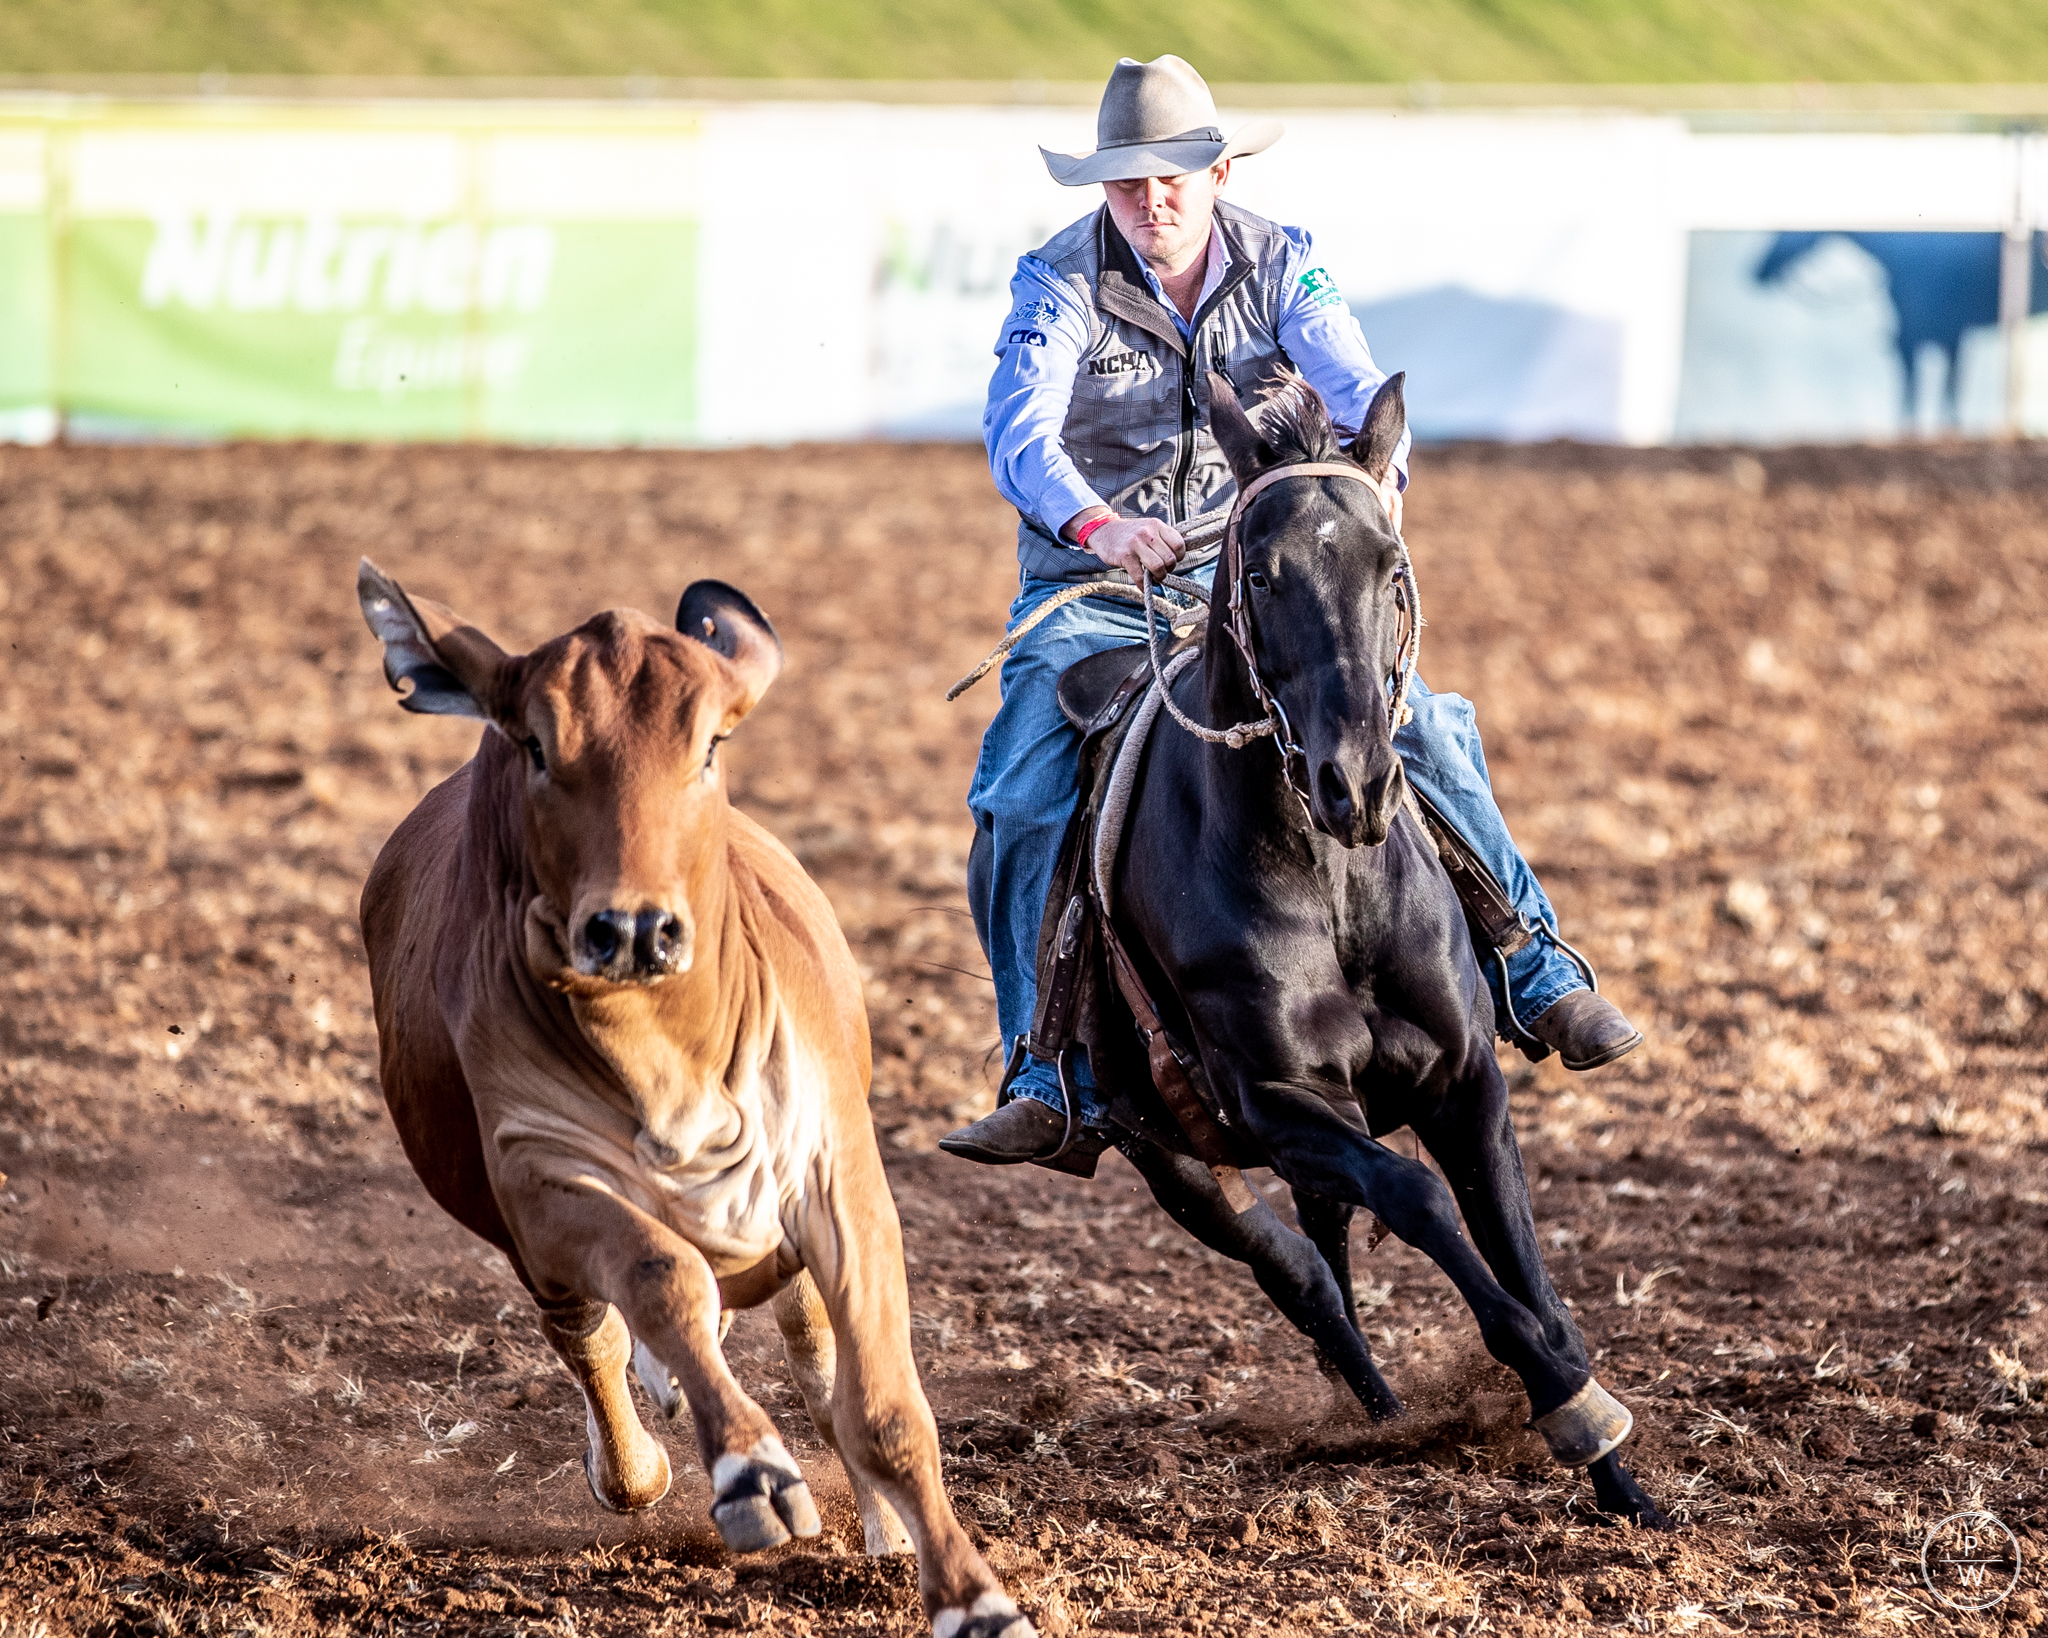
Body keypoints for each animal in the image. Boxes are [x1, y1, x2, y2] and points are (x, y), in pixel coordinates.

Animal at [354, 560, 1030, 1638]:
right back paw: (642, 1459)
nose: (632, 928)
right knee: (592, 1336)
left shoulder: (836, 1180)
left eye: (709, 743)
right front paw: (752, 1474)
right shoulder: (542, 1184)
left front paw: (972, 1598)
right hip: (529, 1243)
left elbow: (880, 1407)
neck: (667, 1047)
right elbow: (658, 1280)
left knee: (809, 1359)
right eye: (536, 744)